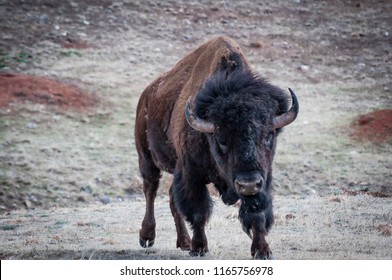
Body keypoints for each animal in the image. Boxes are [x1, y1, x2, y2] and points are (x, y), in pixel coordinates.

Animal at [136, 36, 300, 260]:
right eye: (221, 139)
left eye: (268, 136)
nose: (248, 184)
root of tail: (146, 96)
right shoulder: (191, 174)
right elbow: (198, 211)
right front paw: (199, 248)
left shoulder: (263, 178)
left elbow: (257, 212)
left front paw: (262, 250)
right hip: (146, 158)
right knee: (150, 191)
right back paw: (147, 237)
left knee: (171, 198)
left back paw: (184, 242)